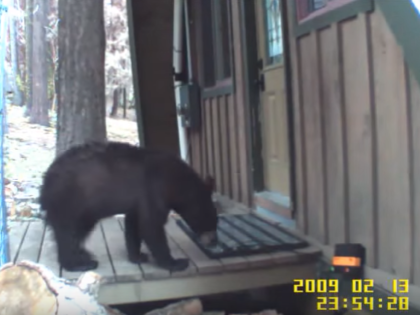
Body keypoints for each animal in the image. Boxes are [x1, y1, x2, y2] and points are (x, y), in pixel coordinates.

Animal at [38, 142, 220, 272]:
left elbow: (134, 225)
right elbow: (151, 225)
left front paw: (137, 256)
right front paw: (175, 262)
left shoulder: (138, 201)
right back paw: (79, 264)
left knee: (78, 231)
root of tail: (44, 183)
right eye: (213, 220)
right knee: (68, 232)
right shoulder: (154, 190)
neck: (175, 182)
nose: (214, 241)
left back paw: (83, 253)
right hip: (69, 200)